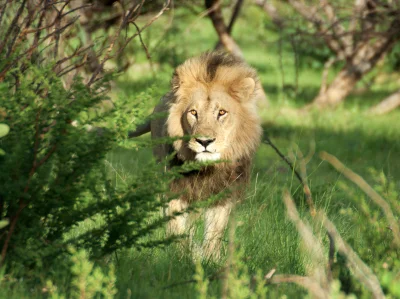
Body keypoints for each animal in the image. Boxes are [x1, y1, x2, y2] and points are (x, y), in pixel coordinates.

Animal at [131, 52, 262, 260]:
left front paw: (210, 259)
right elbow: (176, 227)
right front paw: (183, 256)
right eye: (193, 112)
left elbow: (215, 232)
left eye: (222, 112)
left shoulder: (223, 193)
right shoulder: (174, 187)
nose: (204, 141)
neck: (206, 169)